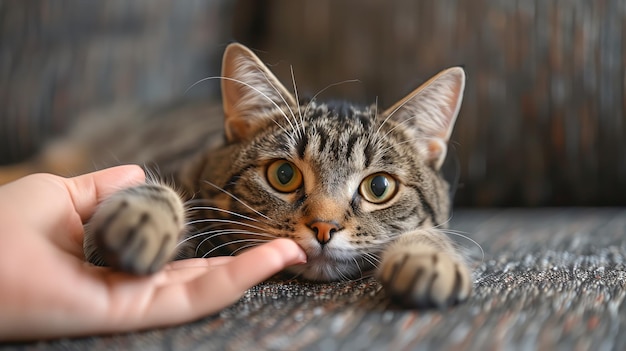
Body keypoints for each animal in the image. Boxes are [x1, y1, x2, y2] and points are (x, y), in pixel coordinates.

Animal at [33, 42, 472, 310]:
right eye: (283, 175)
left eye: (379, 187)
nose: (324, 227)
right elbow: (161, 190)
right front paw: (141, 219)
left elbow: (431, 230)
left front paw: (430, 257)